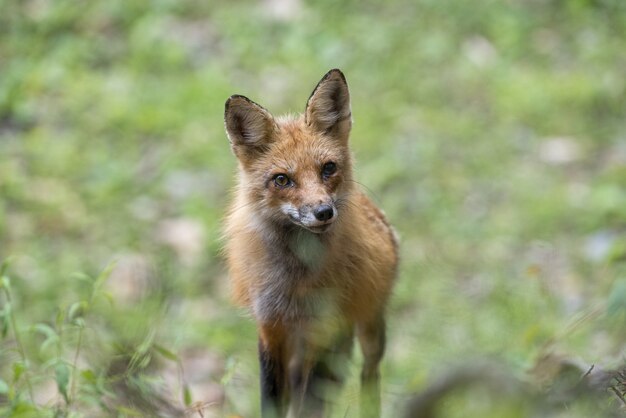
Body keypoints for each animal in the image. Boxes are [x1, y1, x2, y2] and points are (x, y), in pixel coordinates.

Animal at [222, 69, 398, 418]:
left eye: (328, 168)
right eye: (282, 180)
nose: (324, 212)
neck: (294, 283)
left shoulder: (324, 331)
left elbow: (309, 406)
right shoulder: (271, 329)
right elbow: (273, 402)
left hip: (368, 328)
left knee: (369, 374)